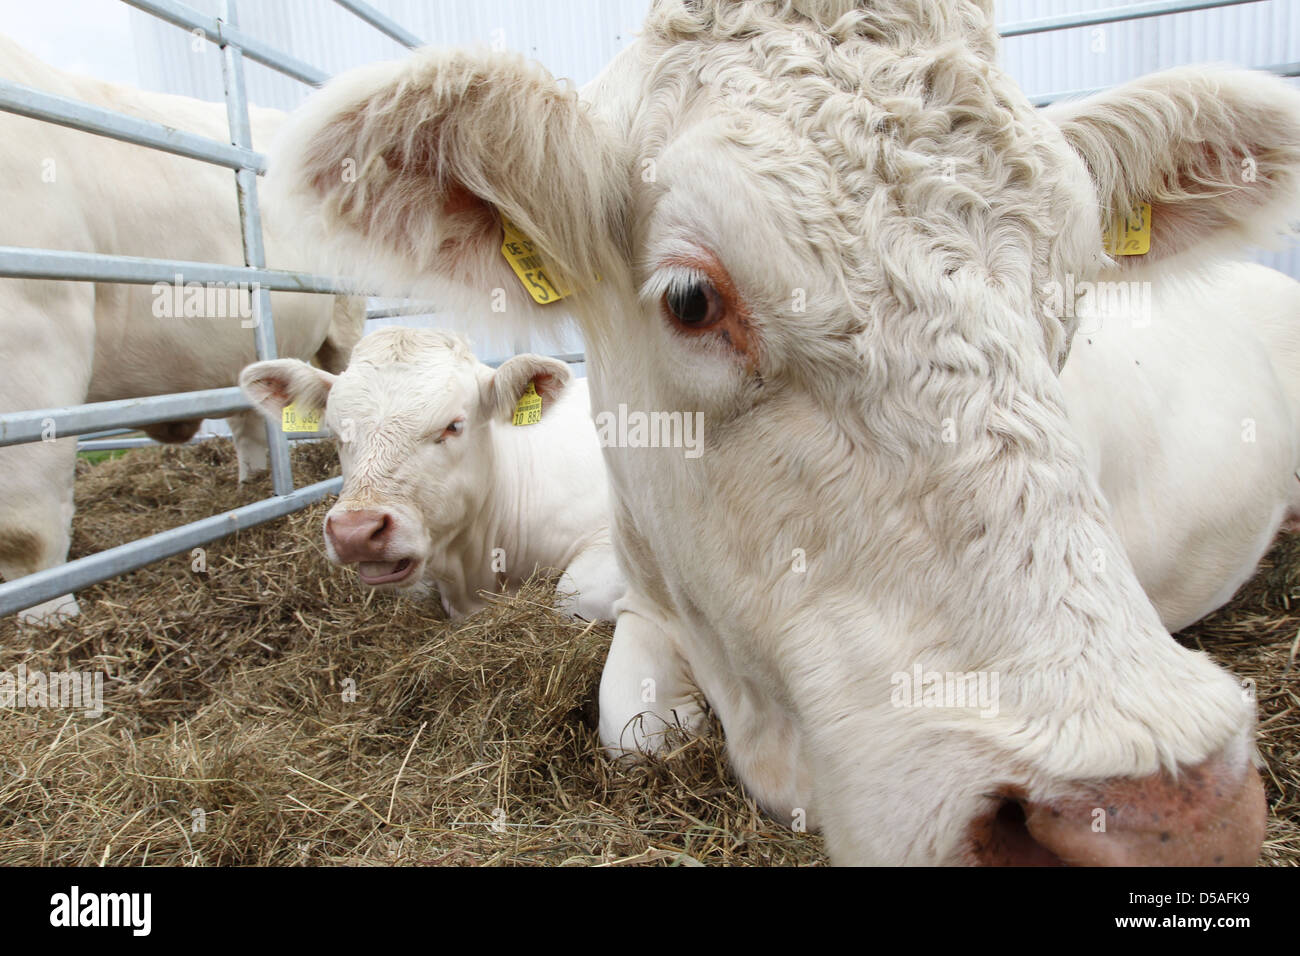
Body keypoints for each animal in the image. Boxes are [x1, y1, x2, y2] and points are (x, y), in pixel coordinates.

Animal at [1, 35, 366, 629]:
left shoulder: (34, 327)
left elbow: (23, 527)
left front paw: (48, 619)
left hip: (346, 317)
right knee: (248, 424)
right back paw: (252, 486)